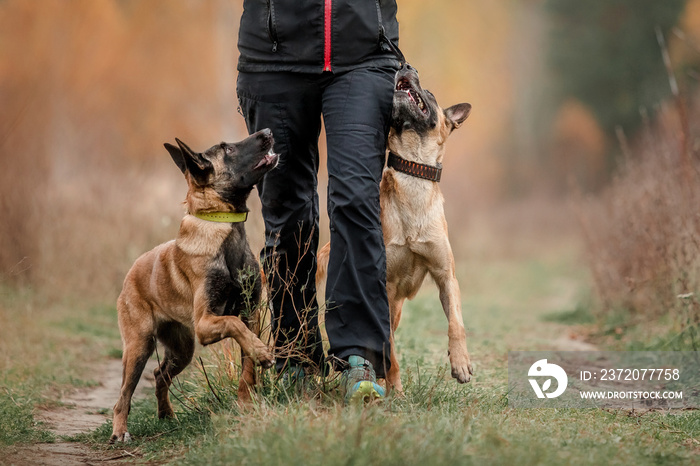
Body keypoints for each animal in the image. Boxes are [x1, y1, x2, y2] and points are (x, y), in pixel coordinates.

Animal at [110, 129, 278, 442]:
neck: (223, 226)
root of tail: (131, 271)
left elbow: (247, 362)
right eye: (227, 149)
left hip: (182, 349)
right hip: (139, 347)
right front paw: (263, 353)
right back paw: (120, 431)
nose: (268, 132)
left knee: (159, 375)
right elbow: (234, 326)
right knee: (123, 395)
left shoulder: (250, 314)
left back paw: (167, 414)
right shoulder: (205, 323)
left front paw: (246, 403)